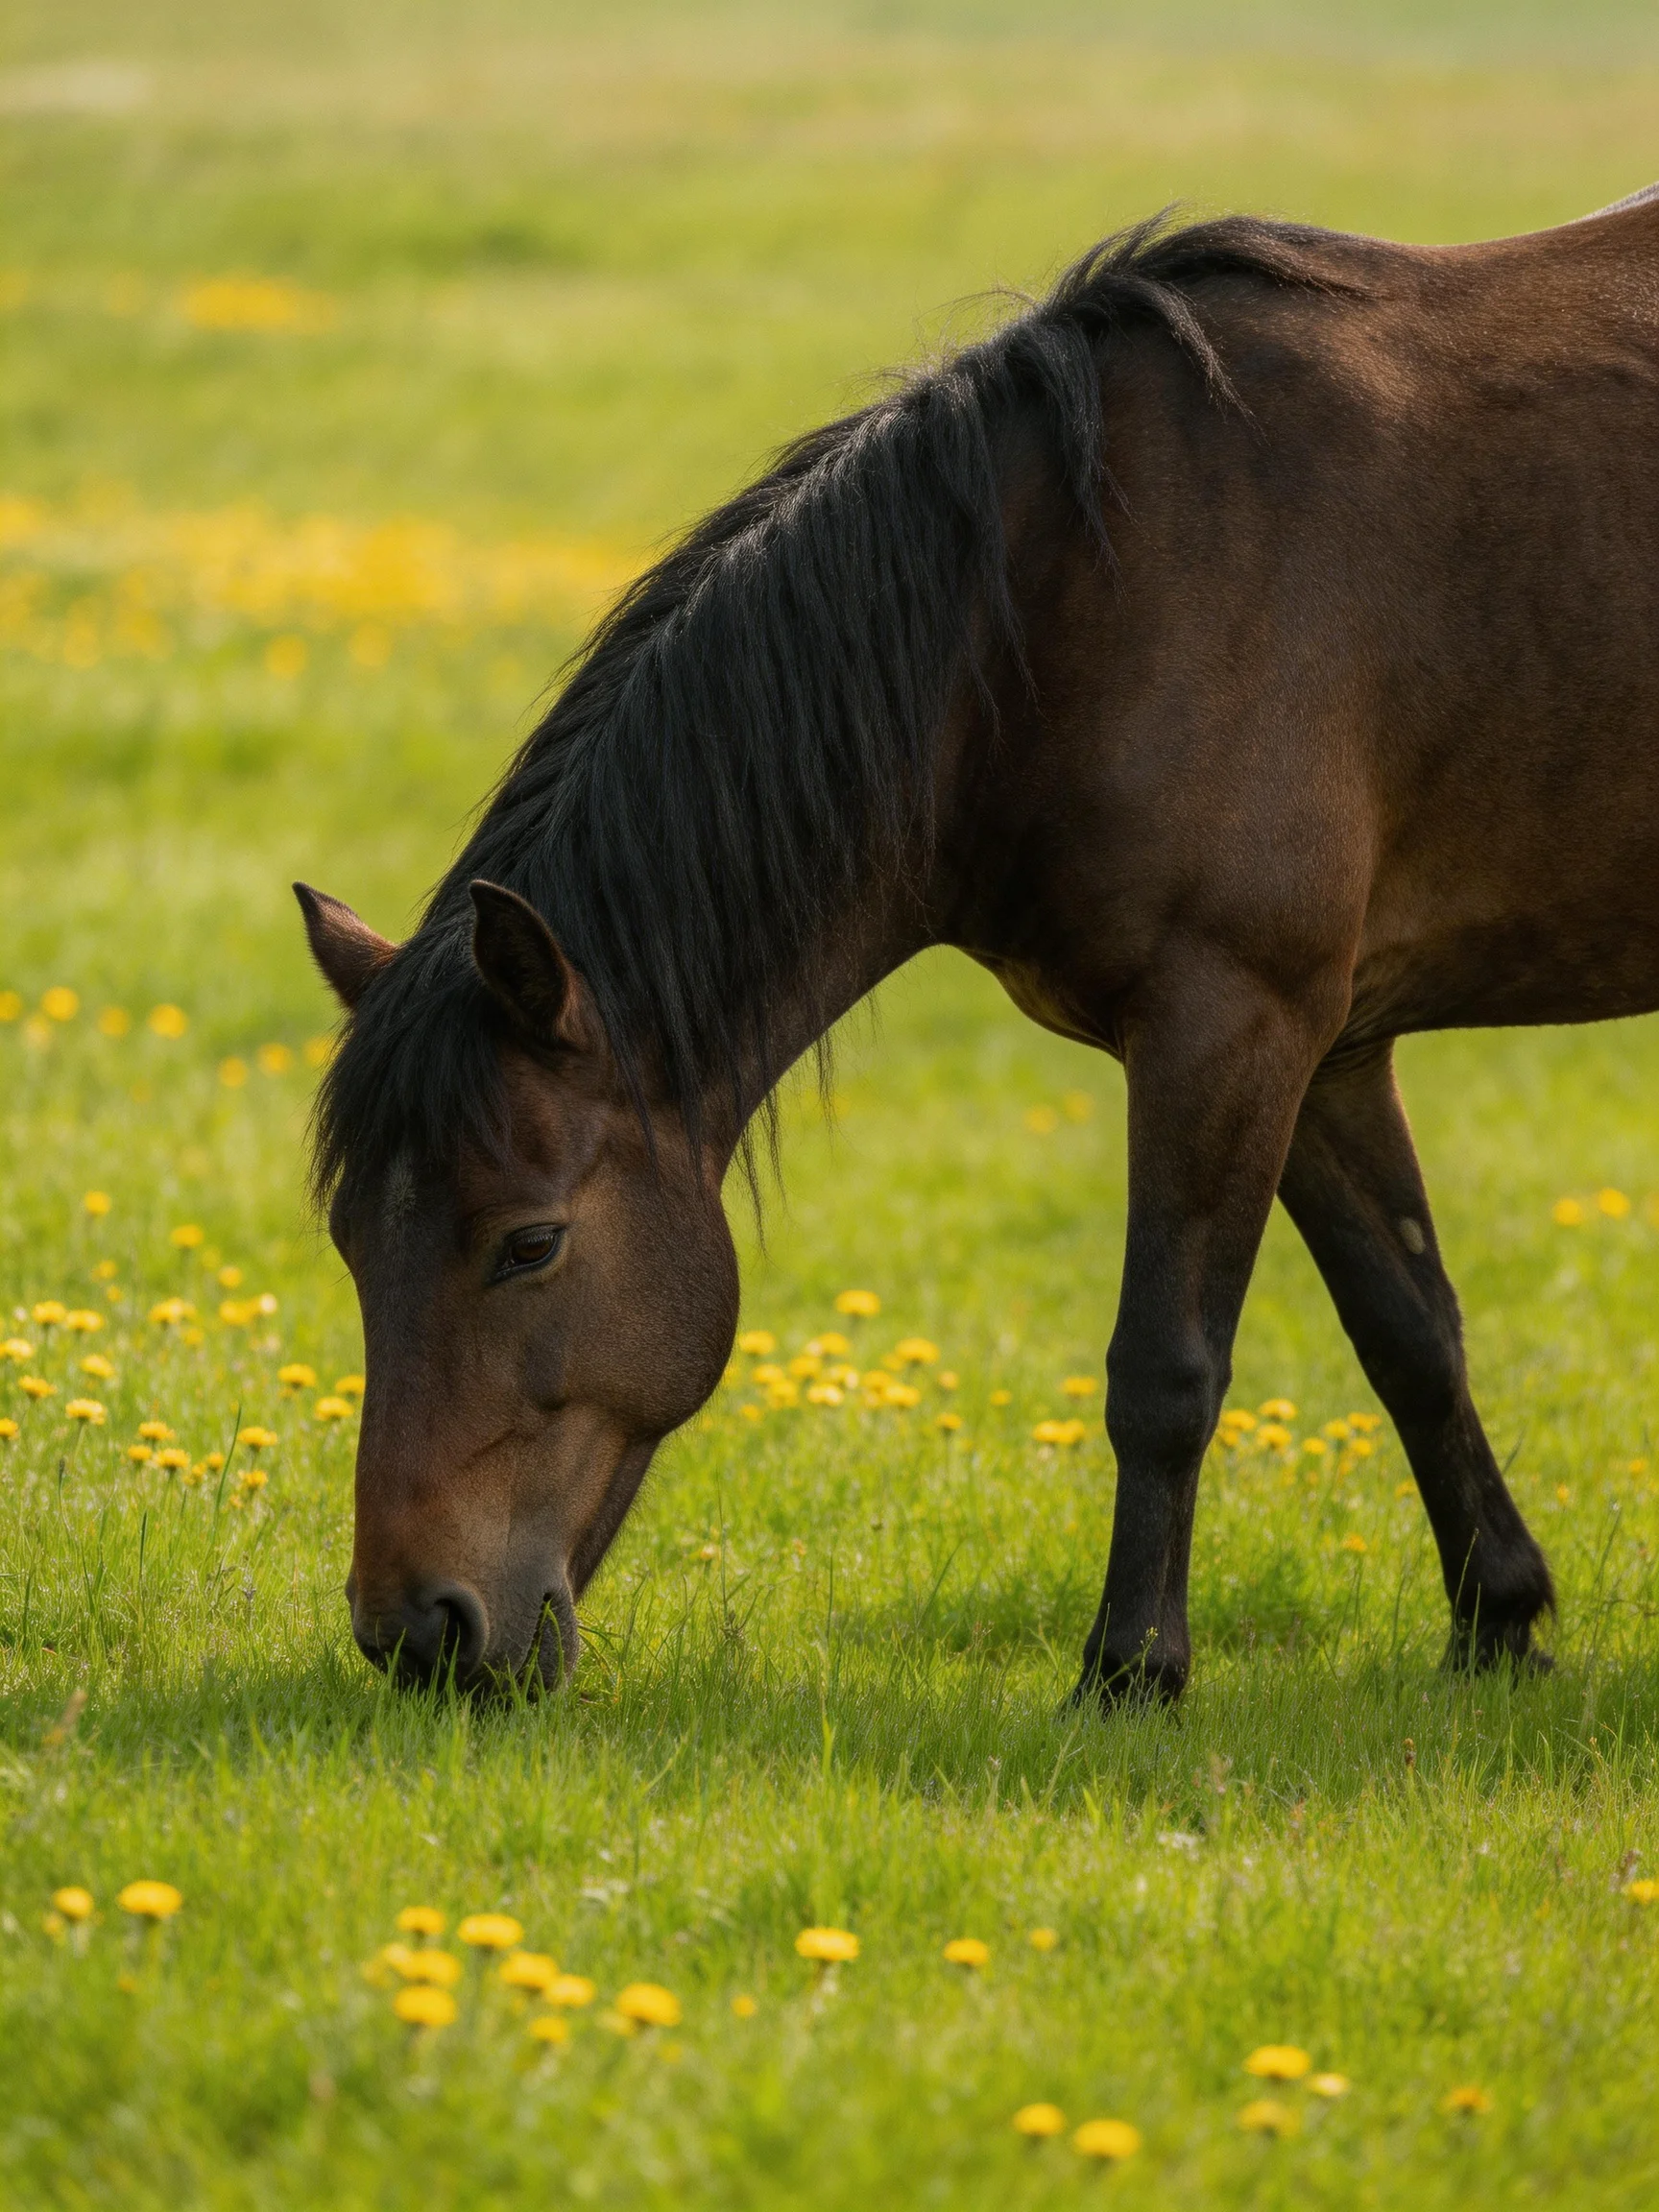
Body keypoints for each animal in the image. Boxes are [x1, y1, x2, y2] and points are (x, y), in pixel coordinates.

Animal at [298, 189, 1659, 1703]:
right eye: (353, 1239)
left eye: (528, 1246)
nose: (417, 1632)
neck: (1080, 603)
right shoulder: (1330, 1044)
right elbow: (1412, 1335)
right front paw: (1499, 1624)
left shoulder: (1228, 1021)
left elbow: (1165, 1370)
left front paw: (1130, 1672)